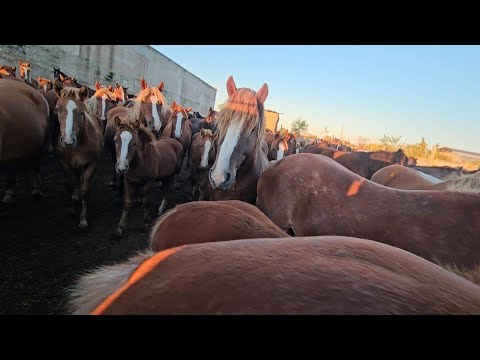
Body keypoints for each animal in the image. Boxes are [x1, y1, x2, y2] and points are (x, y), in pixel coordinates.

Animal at [53, 85, 103, 228]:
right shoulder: (64, 163)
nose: (68, 141)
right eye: (57, 109)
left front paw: (83, 220)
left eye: (81, 112)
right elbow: (69, 185)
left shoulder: (91, 164)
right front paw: (72, 208)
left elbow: (85, 190)